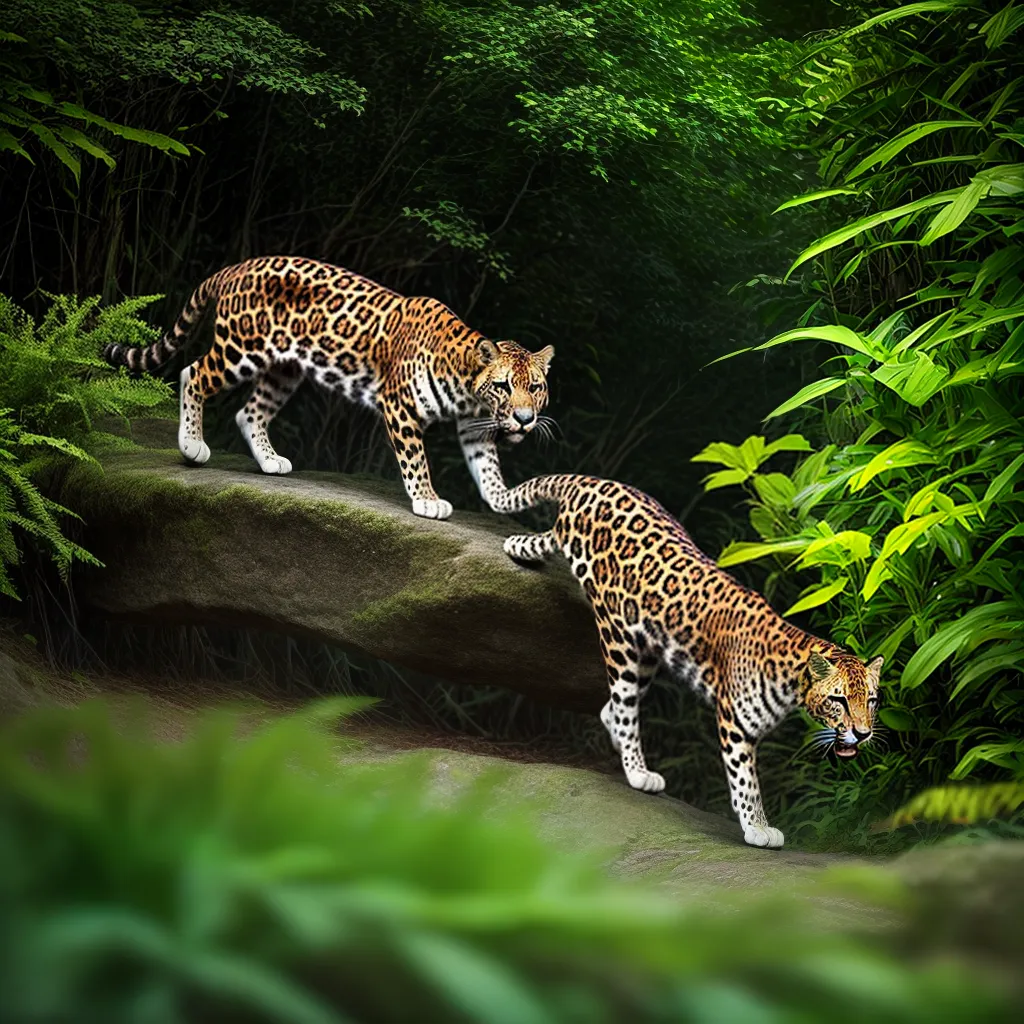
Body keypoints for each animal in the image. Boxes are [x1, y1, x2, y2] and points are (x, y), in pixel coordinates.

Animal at [104, 256, 554, 520]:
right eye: (502, 386)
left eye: (534, 388)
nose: (524, 419)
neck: (465, 383)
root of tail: (237, 265)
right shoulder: (401, 406)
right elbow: (416, 459)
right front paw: (427, 499)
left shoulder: (473, 425)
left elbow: (487, 465)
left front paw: (503, 498)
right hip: (240, 349)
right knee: (192, 373)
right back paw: (192, 444)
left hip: (283, 369)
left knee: (249, 412)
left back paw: (270, 461)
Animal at [494, 473, 883, 849]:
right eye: (838, 700)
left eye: (872, 701)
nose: (863, 734)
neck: (789, 679)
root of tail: (596, 482)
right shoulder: (735, 723)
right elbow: (746, 781)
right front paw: (757, 827)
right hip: (619, 635)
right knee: (624, 706)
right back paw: (638, 771)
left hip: (646, 648)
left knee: (613, 707)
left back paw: (516, 546)